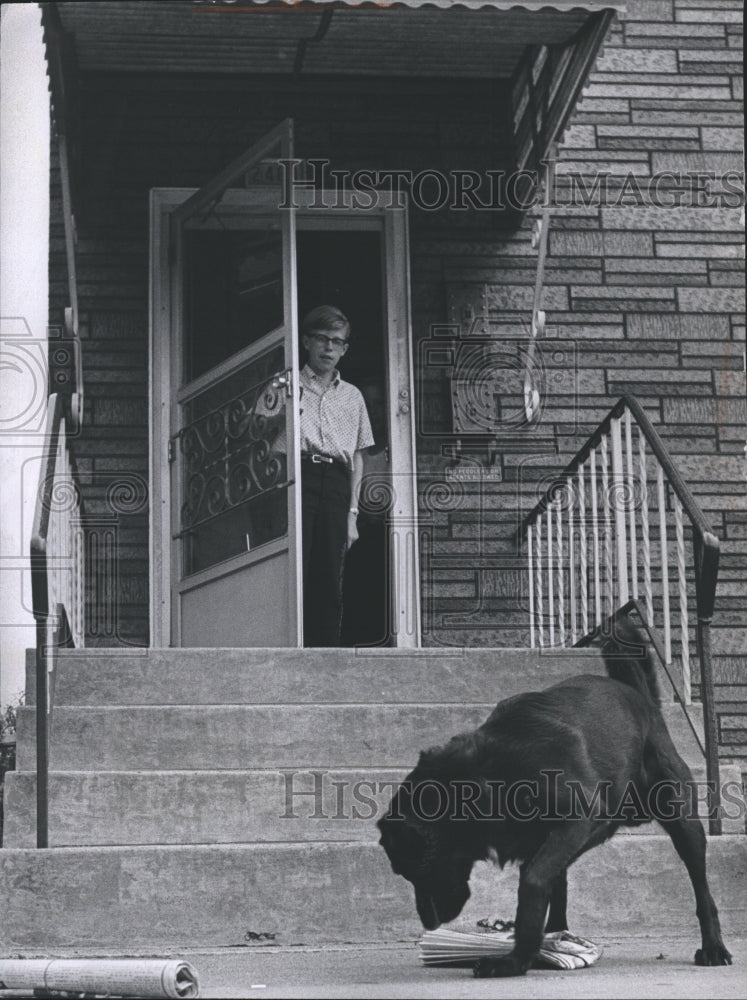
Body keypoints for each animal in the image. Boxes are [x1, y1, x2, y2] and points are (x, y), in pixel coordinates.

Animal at [376, 616, 732, 976]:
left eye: (418, 870)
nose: (429, 924)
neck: (486, 773)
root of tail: (643, 702)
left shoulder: (578, 818)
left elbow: (533, 881)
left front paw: (515, 960)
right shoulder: (548, 838)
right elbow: (542, 882)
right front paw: (530, 949)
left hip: (681, 822)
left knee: (702, 890)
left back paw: (713, 947)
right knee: (559, 884)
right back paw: (556, 936)